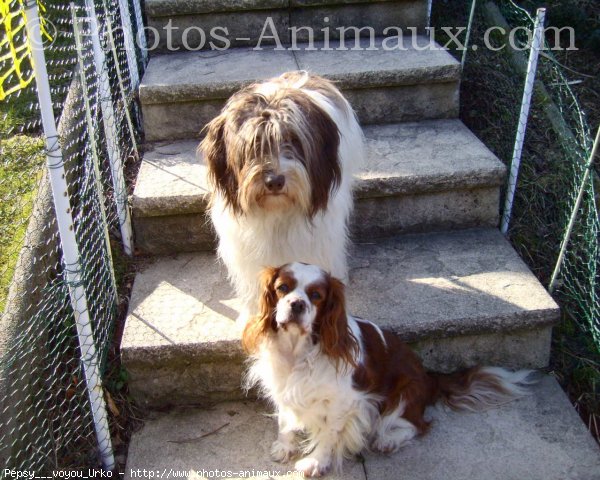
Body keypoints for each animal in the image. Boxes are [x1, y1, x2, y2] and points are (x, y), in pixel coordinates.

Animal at [243, 264, 536, 478]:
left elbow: (327, 435)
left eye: (316, 295)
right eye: (282, 288)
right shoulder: (283, 387)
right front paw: (285, 447)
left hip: (404, 393)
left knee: (416, 425)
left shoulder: (344, 402)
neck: (297, 351)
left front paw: (315, 462)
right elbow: (285, 422)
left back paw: (389, 440)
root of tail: (430, 377)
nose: (297, 304)